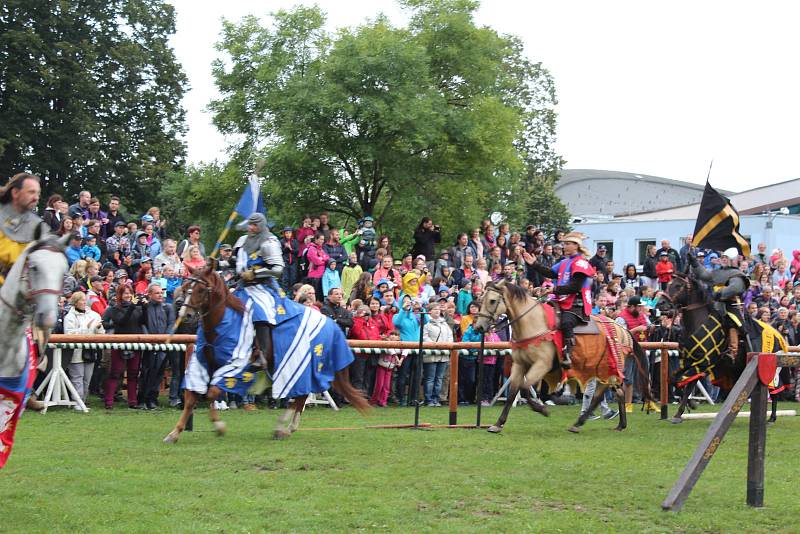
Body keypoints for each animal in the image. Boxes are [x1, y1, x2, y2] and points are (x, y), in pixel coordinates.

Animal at [166, 266, 372, 446]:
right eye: (185, 287)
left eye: (201, 289)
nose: (186, 314)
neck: (223, 322)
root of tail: (331, 324)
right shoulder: (202, 364)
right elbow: (193, 398)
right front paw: (175, 433)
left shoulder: (235, 369)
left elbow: (212, 393)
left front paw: (219, 426)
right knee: (301, 396)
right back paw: (289, 427)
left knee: (300, 395)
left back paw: (283, 427)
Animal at [472, 280, 648, 436]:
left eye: (492, 300)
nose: (479, 326)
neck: (533, 324)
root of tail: (622, 330)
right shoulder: (519, 365)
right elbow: (513, 393)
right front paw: (498, 424)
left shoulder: (541, 365)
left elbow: (524, 388)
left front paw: (542, 409)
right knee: (618, 392)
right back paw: (620, 425)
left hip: (606, 369)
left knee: (599, 396)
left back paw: (578, 423)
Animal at [664, 274, 788, 426]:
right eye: (670, 284)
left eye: (678, 286)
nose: (662, 304)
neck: (698, 323)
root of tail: (779, 335)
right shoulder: (689, 361)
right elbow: (675, 380)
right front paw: (685, 408)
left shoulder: (702, 363)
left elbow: (685, 383)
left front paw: (687, 407)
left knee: (774, 389)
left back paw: (772, 418)